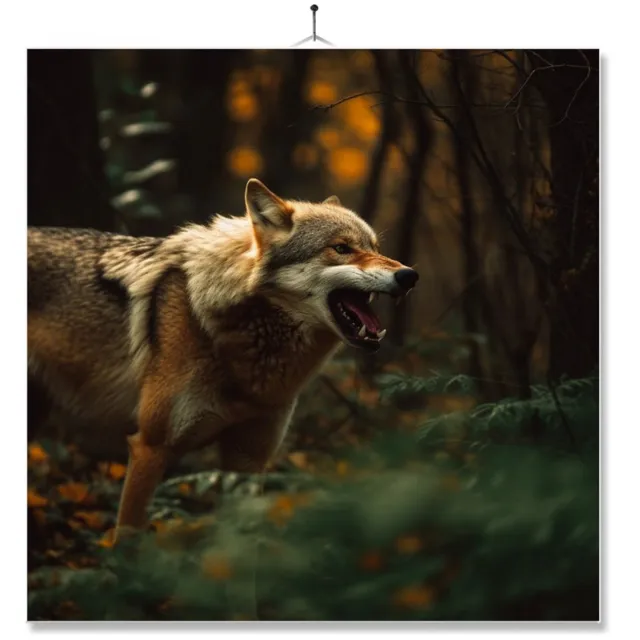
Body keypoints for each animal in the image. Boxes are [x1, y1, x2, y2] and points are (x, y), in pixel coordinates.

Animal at [28, 178, 418, 540]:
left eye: (376, 248)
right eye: (341, 248)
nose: (409, 275)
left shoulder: (248, 460)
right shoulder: (149, 448)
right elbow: (128, 538)